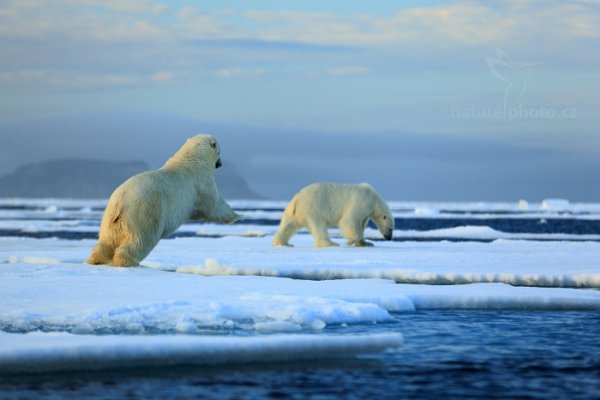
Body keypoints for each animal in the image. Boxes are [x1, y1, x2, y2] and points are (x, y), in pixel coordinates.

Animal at [87, 133, 241, 268]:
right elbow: (214, 205)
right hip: (145, 211)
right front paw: (238, 216)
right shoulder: (202, 184)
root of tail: (121, 201)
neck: (193, 159)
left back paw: (96, 260)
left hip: (109, 218)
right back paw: (127, 261)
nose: (220, 164)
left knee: (106, 241)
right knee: (141, 239)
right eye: (220, 152)